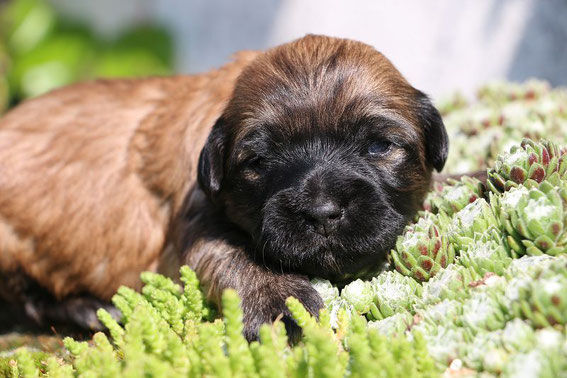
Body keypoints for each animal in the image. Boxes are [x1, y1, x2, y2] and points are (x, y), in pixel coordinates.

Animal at [0, 35, 448, 340]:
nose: (322, 213)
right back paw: (88, 311)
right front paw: (278, 301)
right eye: (259, 162)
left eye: (379, 146)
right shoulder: (196, 221)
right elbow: (235, 256)